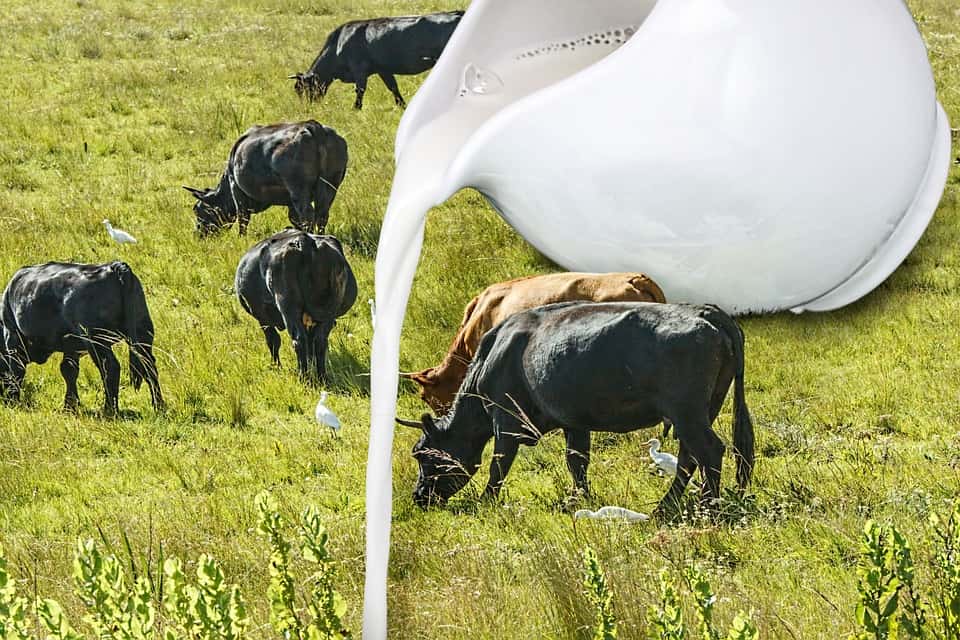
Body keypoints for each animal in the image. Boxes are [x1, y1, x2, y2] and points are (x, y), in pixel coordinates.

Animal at [0, 261, 164, 416]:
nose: (4, 399)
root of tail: (113, 266)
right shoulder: (71, 347)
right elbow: (68, 370)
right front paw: (70, 406)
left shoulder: (13, 336)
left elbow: (16, 370)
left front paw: (13, 401)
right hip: (142, 332)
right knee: (149, 366)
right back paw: (159, 406)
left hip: (96, 340)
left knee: (110, 368)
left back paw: (110, 410)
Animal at [183, 120, 348, 237]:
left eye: (197, 210)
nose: (198, 234)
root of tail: (312, 126)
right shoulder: (289, 202)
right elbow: (293, 218)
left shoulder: (236, 188)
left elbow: (243, 217)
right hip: (331, 184)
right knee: (322, 214)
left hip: (299, 189)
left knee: (308, 214)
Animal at [235, 229, 357, 382]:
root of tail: (303, 241)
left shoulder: (262, 318)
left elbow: (273, 341)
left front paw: (276, 367)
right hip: (328, 310)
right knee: (319, 341)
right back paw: (322, 377)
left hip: (288, 308)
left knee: (298, 340)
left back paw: (303, 377)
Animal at [290, 11, 464, 110]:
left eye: (301, 88)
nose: (307, 109)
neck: (338, 44)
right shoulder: (383, 70)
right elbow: (393, 87)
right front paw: (403, 106)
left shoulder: (359, 70)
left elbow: (360, 90)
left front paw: (355, 109)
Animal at [397, 302, 754, 518]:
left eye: (423, 455)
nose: (419, 496)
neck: (492, 355)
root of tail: (704, 311)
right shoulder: (575, 422)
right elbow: (577, 462)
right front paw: (580, 497)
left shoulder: (506, 421)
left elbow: (498, 465)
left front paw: (486, 501)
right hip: (702, 409)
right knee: (689, 457)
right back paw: (667, 507)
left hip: (686, 412)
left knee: (709, 450)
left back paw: (708, 507)